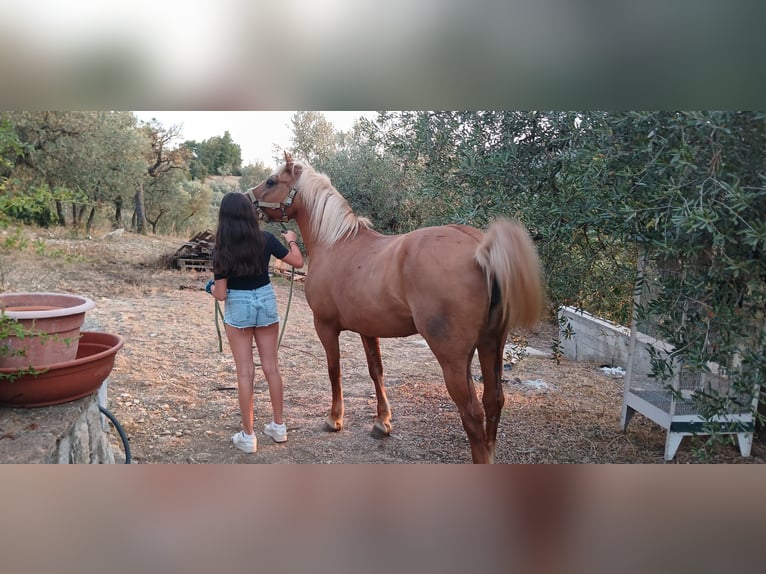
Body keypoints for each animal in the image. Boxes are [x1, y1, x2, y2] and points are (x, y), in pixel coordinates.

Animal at [248, 152, 544, 464]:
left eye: (271, 181)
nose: (247, 199)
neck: (335, 243)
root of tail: (479, 246)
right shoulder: (368, 329)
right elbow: (376, 371)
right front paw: (382, 422)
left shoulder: (325, 326)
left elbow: (334, 370)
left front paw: (334, 419)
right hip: (491, 344)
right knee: (493, 401)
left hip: (453, 357)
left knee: (472, 412)